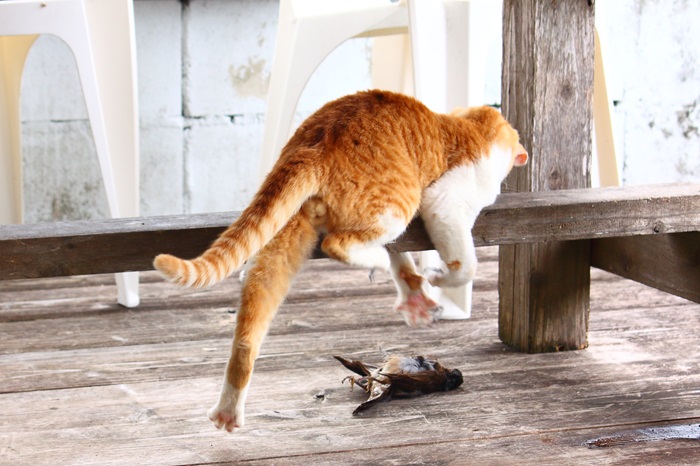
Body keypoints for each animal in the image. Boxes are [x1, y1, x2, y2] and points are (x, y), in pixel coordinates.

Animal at [152, 89, 524, 432]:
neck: (472, 128)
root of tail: (313, 143)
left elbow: (402, 260)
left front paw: (415, 293)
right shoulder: (445, 203)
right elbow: (465, 263)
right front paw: (438, 277)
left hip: (287, 232)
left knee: (250, 326)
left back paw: (228, 409)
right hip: (398, 205)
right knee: (338, 243)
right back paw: (374, 260)